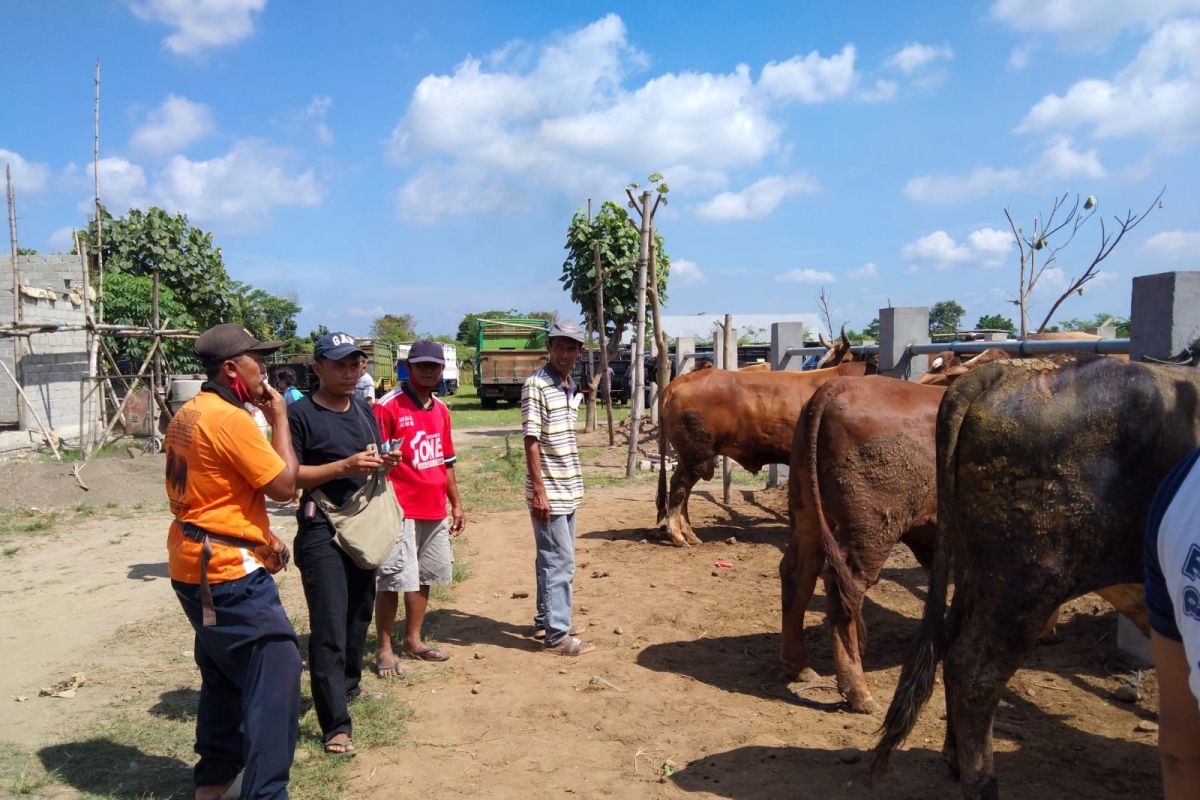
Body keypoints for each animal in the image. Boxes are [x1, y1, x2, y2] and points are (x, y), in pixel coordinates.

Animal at [652, 362, 868, 544]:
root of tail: (681, 381)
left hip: (693, 458)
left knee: (684, 492)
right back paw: (678, 536)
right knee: (679, 487)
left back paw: (689, 534)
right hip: (696, 456)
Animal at [777, 376, 945, 714]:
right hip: (871, 531)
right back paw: (857, 691)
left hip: (806, 509)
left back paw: (798, 666)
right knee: (846, 590)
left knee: (797, 573)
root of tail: (839, 385)